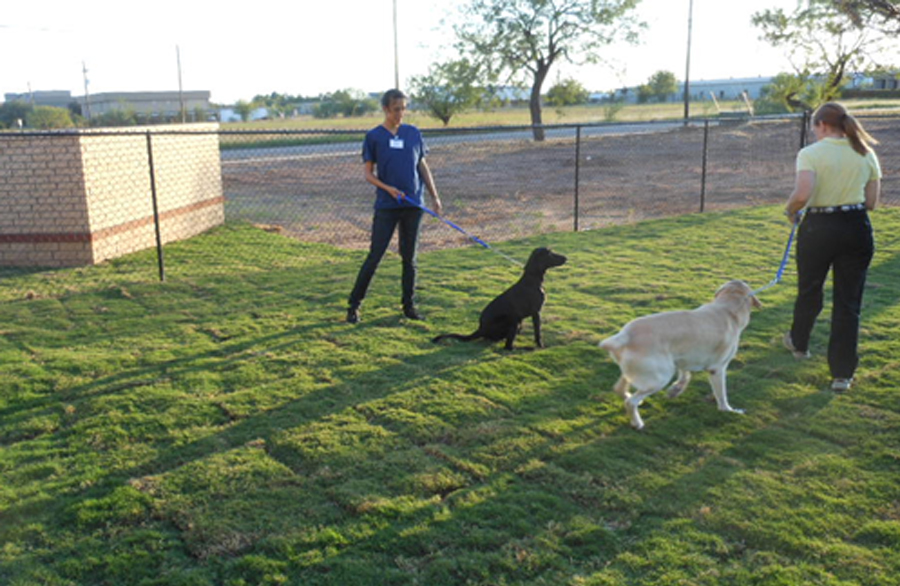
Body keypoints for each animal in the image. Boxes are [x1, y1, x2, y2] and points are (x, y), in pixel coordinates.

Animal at [430, 245, 568, 350]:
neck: (532, 280)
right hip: (514, 321)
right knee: (508, 346)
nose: (566, 257)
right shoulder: (536, 312)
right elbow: (537, 333)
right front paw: (540, 346)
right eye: (550, 253)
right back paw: (525, 348)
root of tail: (480, 329)